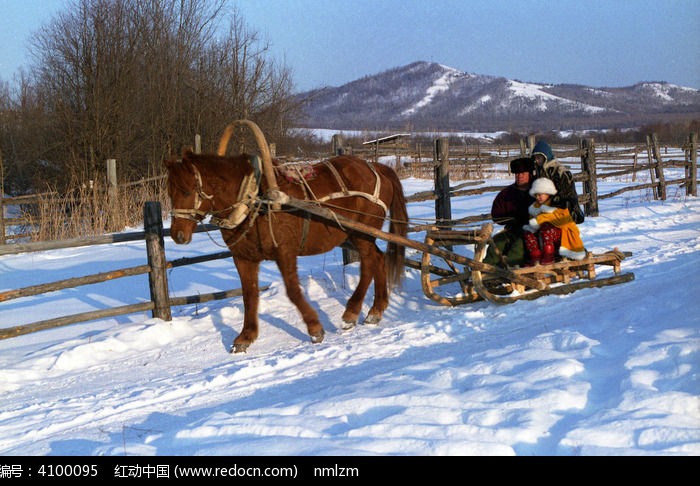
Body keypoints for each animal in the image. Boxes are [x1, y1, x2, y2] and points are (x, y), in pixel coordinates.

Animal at [162, 149, 408, 354]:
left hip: (361, 232)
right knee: (378, 259)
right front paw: (245, 337)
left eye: (186, 190)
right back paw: (376, 310)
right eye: (169, 193)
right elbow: (249, 295)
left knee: (369, 263)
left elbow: (293, 291)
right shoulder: (243, 258)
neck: (256, 201)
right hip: (356, 235)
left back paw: (351, 313)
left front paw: (315, 329)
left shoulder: (285, 252)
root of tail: (377, 167)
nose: (177, 234)